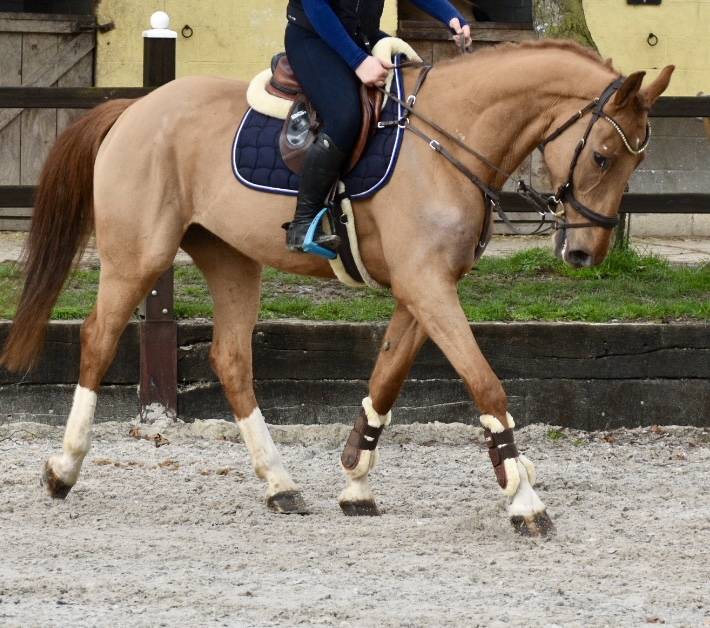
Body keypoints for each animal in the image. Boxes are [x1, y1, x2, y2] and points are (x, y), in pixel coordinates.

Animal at [0, 40, 673, 537]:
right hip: (138, 256)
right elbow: (485, 382)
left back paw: (281, 484)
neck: (449, 138)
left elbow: (386, 379)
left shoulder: (421, 290)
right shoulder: (428, 287)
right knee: (98, 337)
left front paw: (355, 480)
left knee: (231, 359)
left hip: (231, 259)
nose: (585, 254)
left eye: (636, 161)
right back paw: (63, 468)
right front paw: (523, 496)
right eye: (604, 156)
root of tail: (136, 107)